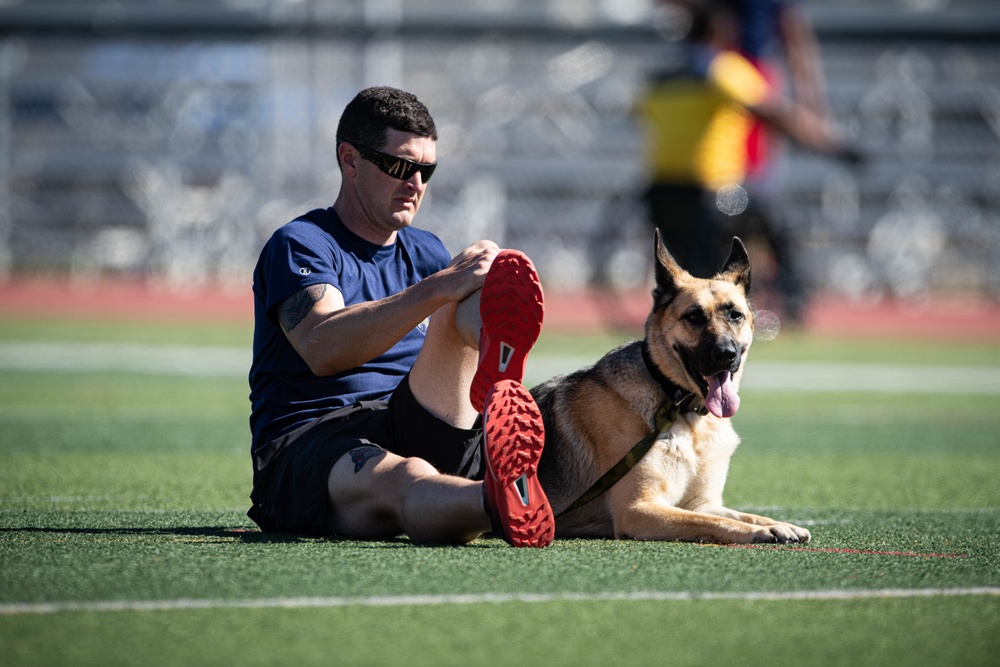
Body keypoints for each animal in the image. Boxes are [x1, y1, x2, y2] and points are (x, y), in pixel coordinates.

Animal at [532, 232, 812, 544]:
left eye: (735, 315)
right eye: (694, 317)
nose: (726, 354)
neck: (678, 405)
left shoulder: (703, 504)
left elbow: (741, 515)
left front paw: (776, 523)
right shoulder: (638, 510)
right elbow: (716, 523)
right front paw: (761, 531)